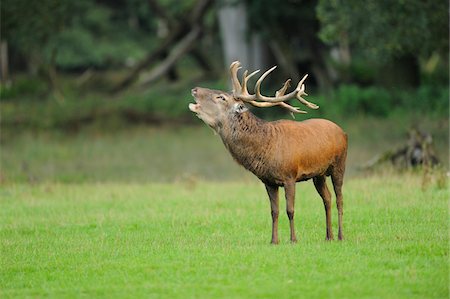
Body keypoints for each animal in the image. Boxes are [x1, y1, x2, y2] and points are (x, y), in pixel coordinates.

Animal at [188, 61, 346, 244]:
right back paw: (328, 236)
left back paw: (340, 236)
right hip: (319, 174)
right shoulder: (268, 181)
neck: (265, 148)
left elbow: (290, 209)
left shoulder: (290, 176)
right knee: (327, 198)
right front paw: (274, 240)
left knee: (339, 199)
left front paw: (293, 239)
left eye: (221, 97)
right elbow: (274, 211)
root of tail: (342, 131)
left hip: (339, 164)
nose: (195, 89)